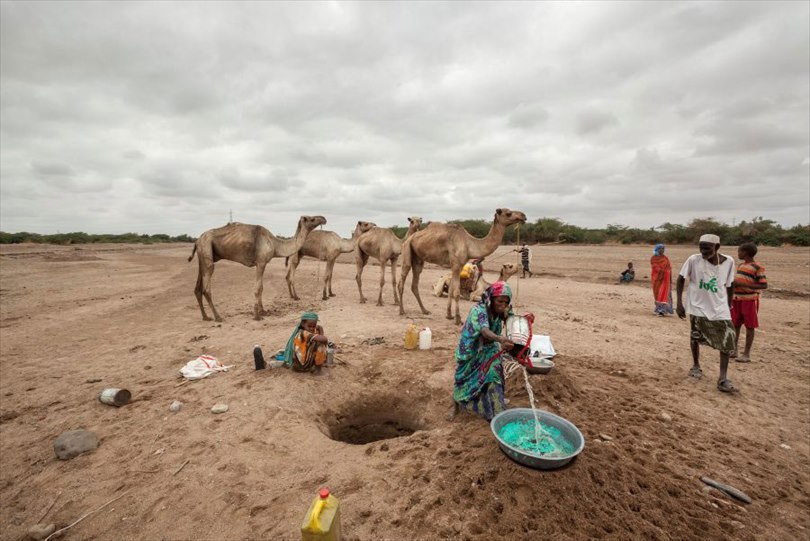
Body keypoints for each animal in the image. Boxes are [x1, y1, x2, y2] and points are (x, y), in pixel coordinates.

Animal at [189, 215, 326, 320]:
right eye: (312, 219)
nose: (324, 218)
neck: (275, 244)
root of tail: (197, 240)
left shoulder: (262, 263)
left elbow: (262, 288)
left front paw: (263, 311)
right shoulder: (261, 262)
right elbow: (258, 288)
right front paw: (256, 316)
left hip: (203, 256)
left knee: (197, 289)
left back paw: (205, 317)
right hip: (206, 248)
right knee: (206, 287)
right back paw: (217, 317)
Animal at [396, 208, 524, 322]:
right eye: (508, 213)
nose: (523, 216)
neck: (470, 244)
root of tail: (408, 239)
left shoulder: (457, 266)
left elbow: (451, 291)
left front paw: (449, 315)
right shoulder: (456, 264)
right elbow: (456, 293)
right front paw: (458, 318)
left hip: (418, 259)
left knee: (415, 283)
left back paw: (425, 310)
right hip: (407, 250)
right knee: (402, 281)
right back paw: (402, 311)